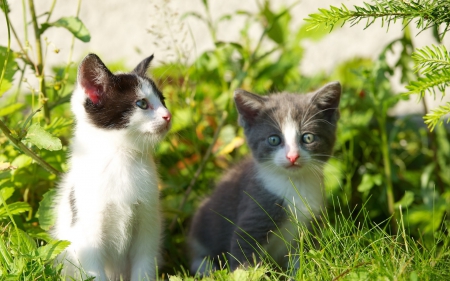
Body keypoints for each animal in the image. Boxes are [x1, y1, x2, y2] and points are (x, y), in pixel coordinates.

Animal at [51, 53, 171, 278]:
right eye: (141, 103)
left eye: (163, 100)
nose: (168, 116)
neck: (121, 158)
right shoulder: (87, 228)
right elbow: (94, 271)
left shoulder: (148, 221)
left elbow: (144, 262)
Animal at [187, 81, 342, 274]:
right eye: (274, 140)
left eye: (308, 137)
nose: (293, 156)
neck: (294, 184)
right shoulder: (253, 217)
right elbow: (244, 262)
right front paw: (246, 274)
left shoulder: (310, 225)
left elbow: (303, 259)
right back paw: (207, 268)